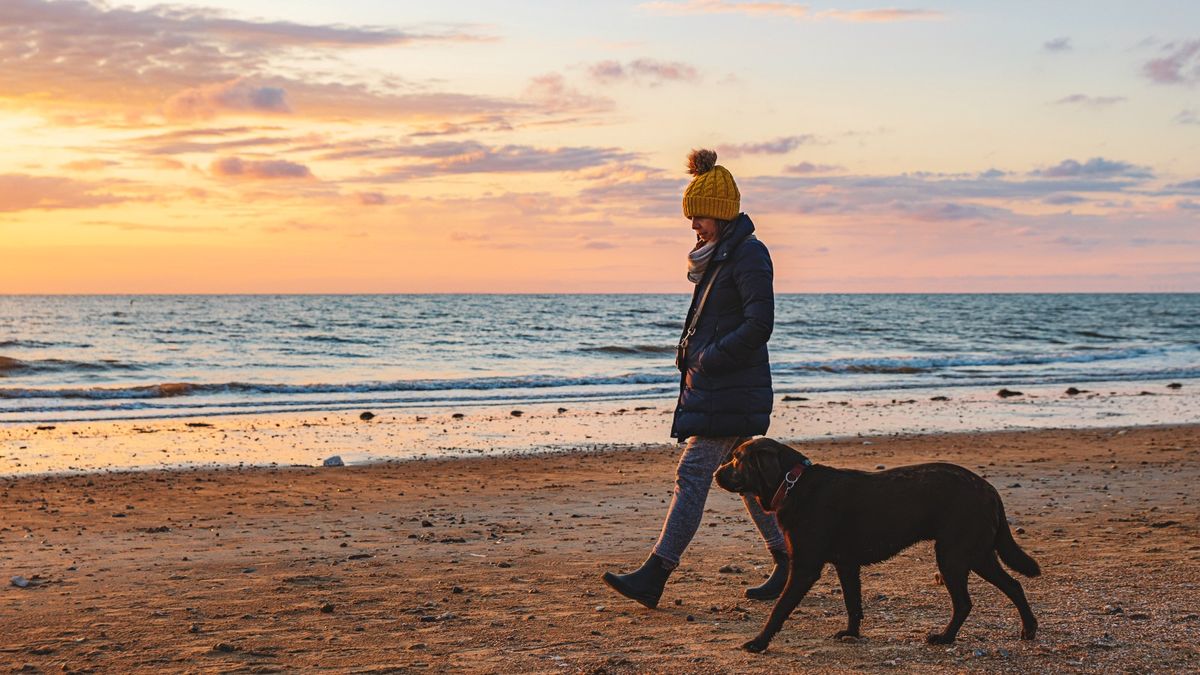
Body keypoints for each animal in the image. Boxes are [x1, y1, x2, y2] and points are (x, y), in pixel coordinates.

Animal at [710, 437, 1041, 653]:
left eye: (737, 459)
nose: (715, 473)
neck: (793, 482)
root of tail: (989, 489)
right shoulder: (846, 565)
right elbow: (852, 604)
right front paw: (852, 633)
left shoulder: (805, 567)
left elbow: (779, 608)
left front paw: (759, 642)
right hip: (978, 553)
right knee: (1013, 585)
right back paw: (1028, 629)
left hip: (954, 555)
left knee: (965, 602)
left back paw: (945, 638)